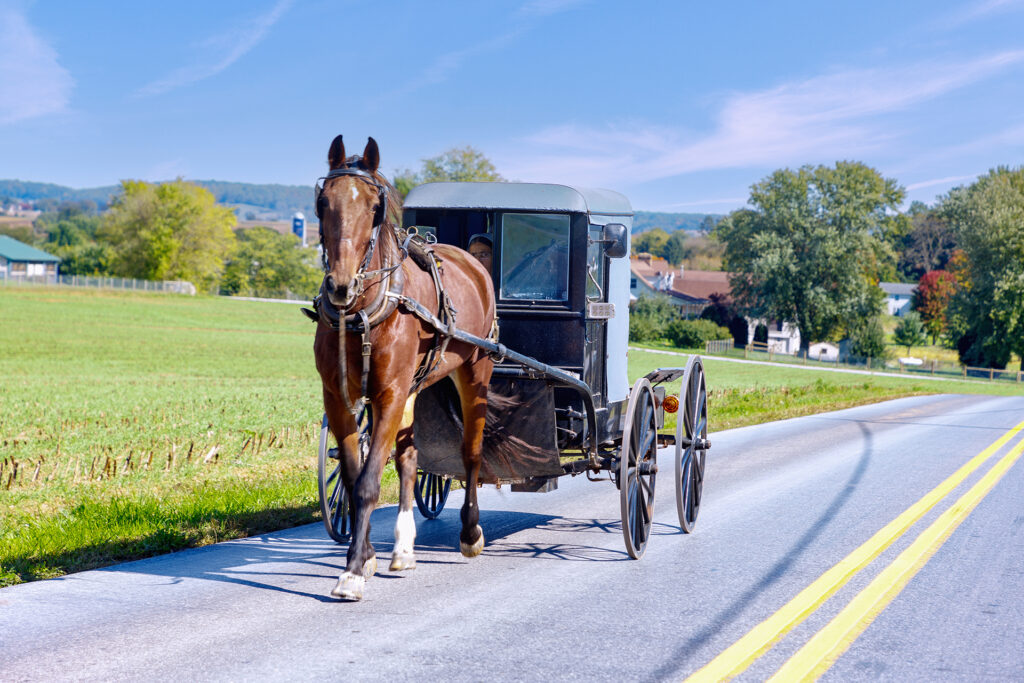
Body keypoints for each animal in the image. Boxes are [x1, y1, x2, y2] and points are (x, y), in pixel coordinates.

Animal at [315, 136, 495, 602]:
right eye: (323, 202)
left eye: (375, 207)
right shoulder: (340, 396)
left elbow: (367, 483)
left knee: (471, 452)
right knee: (410, 457)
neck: (362, 312)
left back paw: (470, 532)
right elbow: (355, 473)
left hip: (476, 370)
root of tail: (473, 261)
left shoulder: (390, 393)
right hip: (414, 386)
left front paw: (352, 571)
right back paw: (403, 547)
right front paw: (367, 555)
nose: (340, 285)